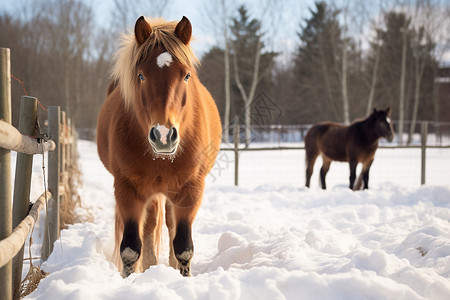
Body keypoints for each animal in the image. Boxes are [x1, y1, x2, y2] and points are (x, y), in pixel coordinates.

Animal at [97, 16, 221, 278]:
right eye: (141, 76)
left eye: (186, 76)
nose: (164, 136)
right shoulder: (127, 190)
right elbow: (130, 249)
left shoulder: (191, 191)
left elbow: (183, 246)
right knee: (150, 225)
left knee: (170, 226)